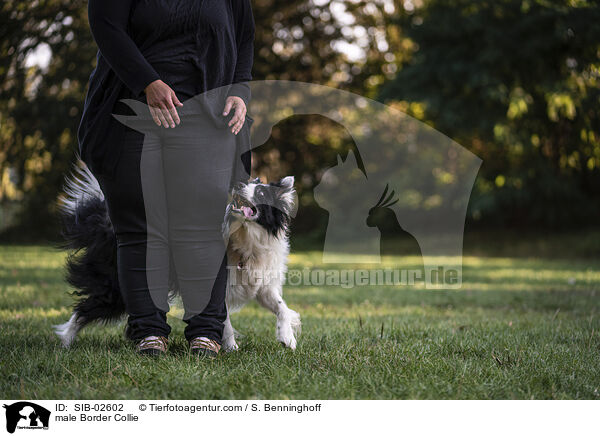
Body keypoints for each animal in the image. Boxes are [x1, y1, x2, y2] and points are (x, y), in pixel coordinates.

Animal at [52, 163, 300, 350]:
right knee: (84, 309)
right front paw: (230, 348)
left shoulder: (263, 285)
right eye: (246, 184)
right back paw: (65, 342)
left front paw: (287, 338)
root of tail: (107, 227)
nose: (238, 184)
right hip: (115, 288)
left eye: (261, 192)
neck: (246, 237)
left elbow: (282, 307)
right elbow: (226, 321)